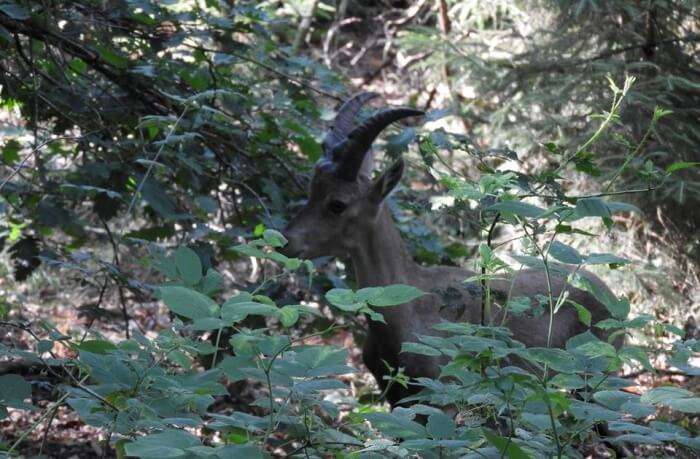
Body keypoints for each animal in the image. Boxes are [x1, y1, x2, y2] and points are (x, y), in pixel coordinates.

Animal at [278, 92, 612, 406]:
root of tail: (609, 295)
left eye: (338, 204)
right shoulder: (397, 398)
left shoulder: (445, 393)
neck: (407, 308)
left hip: (591, 384)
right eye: (312, 189)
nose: (286, 241)